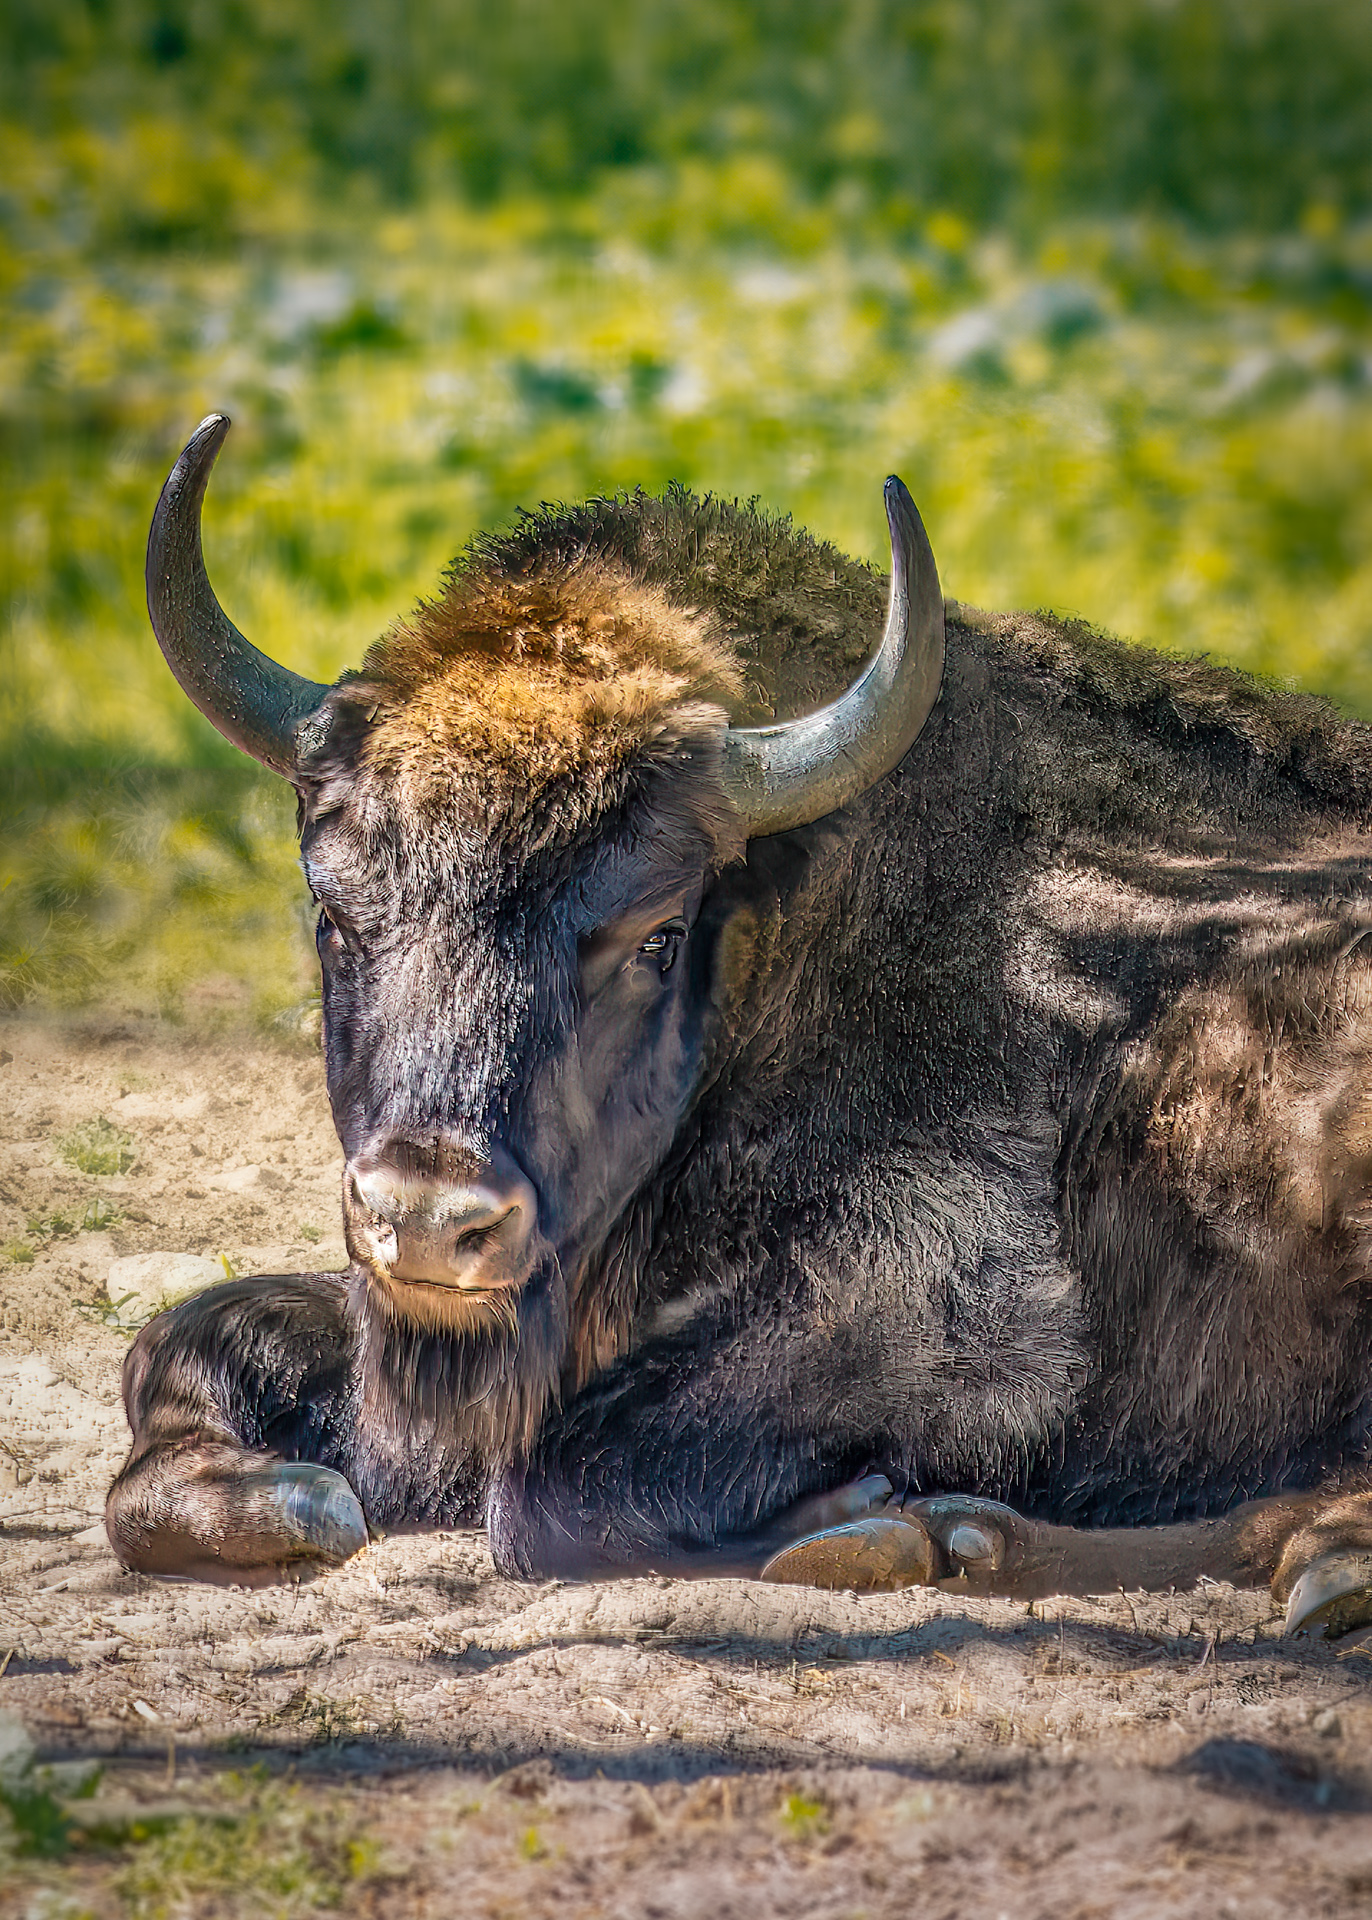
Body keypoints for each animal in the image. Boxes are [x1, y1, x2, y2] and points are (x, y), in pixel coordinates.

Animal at [107, 414, 1372, 1638]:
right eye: (333, 909)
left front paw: (860, 1517)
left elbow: (547, 1493)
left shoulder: (940, 1306)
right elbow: (179, 1341)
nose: (424, 1216)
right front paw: (282, 1500)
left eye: (656, 933)